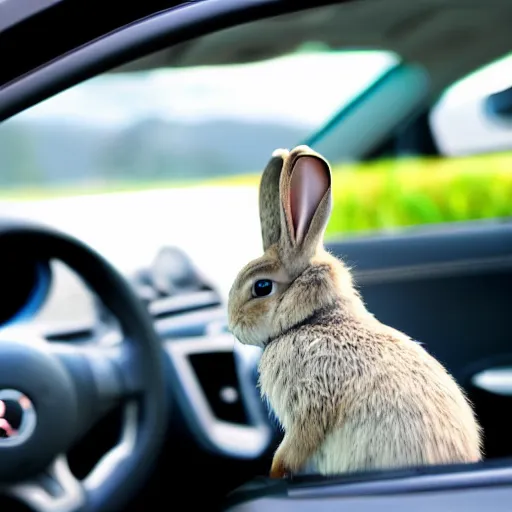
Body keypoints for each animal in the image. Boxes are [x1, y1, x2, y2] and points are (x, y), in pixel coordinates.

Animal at [228, 145, 484, 480]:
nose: (231, 324)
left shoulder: (309, 401)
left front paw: (276, 471)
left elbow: (298, 440)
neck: (312, 318)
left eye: (261, 287)